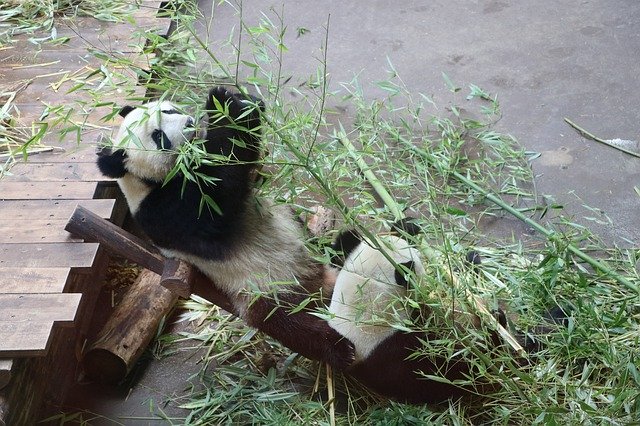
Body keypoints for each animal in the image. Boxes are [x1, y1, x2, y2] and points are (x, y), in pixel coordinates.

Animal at [97, 87, 356, 370]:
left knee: (337, 247)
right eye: (159, 137)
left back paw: (346, 246)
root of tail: (317, 284)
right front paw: (225, 107)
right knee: (291, 324)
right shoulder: (162, 213)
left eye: (169, 110)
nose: (190, 123)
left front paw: (230, 99)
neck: (144, 182)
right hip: (263, 289)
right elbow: (214, 204)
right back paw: (341, 348)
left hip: (299, 237)